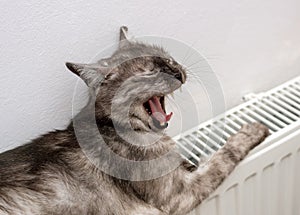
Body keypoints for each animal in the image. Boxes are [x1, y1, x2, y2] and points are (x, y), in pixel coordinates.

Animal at [0, 27, 270, 215]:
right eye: (148, 72)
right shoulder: (179, 194)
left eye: (169, 60)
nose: (177, 72)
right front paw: (253, 129)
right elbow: (221, 158)